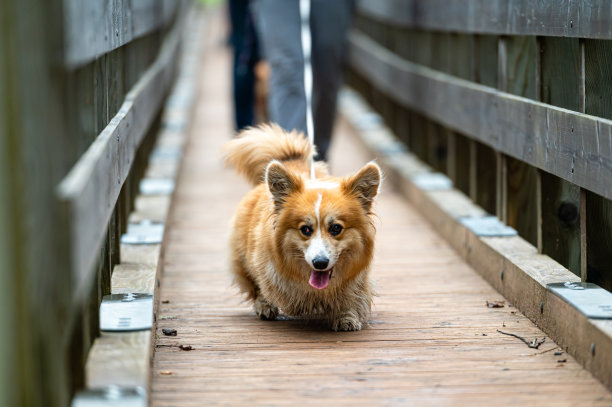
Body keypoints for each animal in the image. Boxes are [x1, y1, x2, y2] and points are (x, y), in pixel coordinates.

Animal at [222, 124, 380, 332]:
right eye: (305, 229)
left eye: (336, 228)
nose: (320, 263)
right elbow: (267, 284)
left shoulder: (356, 279)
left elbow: (352, 295)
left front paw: (347, 317)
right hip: (243, 256)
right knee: (255, 282)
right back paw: (265, 306)